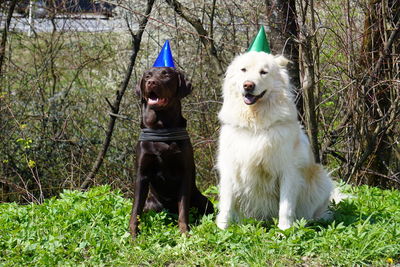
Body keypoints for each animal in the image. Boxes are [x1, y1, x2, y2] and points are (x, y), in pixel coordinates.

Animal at [130, 67, 214, 239]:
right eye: (147, 76)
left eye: (166, 74)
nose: (151, 82)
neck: (161, 128)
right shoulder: (141, 173)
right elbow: (136, 210)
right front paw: (133, 236)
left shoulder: (184, 173)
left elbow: (183, 209)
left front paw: (184, 233)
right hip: (151, 203)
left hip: (204, 201)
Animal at [216, 51, 334, 231]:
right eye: (243, 70)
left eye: (263, 72)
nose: (248, 85)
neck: (255, 125)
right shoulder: (230, 169)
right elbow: (226, 205)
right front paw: (221, 229)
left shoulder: (288, 172)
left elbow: (285, 206)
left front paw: (285, 229)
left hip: (322, 182)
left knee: (317, 213)